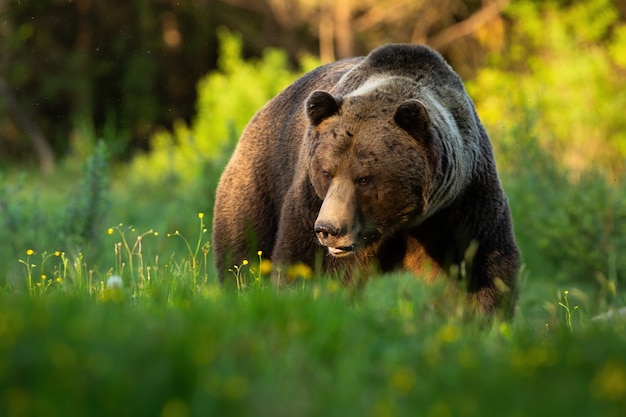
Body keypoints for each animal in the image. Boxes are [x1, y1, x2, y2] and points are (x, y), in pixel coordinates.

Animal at [212, 43, 520, 316]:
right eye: (326, 172)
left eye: (363, 178)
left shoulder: (461, 204)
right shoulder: (311, 201)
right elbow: (309, 264)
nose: (328, 229)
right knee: (243, 252)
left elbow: (480, 269)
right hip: (259, 182)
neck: (400, 223)